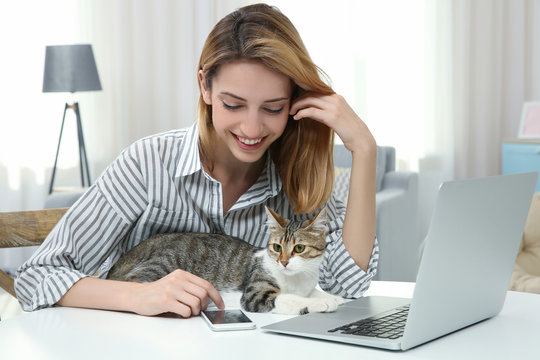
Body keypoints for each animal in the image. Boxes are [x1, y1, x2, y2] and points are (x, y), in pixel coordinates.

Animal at [106, 207, 344, 314]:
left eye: (299, 248)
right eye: (277, 248)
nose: (284, 262)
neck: (296, 279)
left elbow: (312, 292)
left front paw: (333, 297)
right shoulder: (255, 294)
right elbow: (290, 299)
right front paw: (321, 303)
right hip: (163, 264)